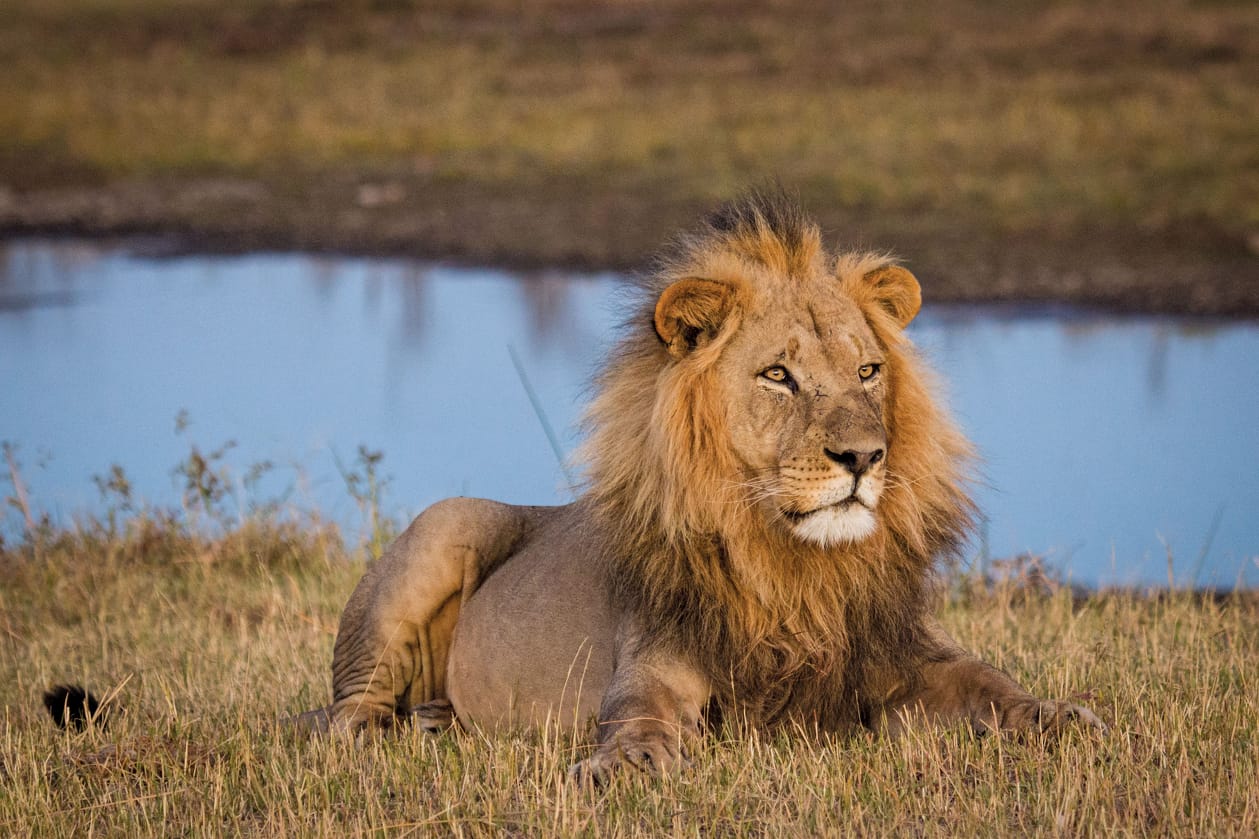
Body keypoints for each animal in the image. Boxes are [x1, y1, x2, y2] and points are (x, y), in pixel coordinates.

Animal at [304, 190, 1103, 779]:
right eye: (777, 375)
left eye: (868, 370)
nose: (863, 456)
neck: (794, 566)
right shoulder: (656, 663)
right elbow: (640, 716)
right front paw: (625, 766)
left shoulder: (905, 653)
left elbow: (990, 683)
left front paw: (1062, 717)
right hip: (441, 527)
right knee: (343, 711)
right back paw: (392, 733)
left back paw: (438, 719)